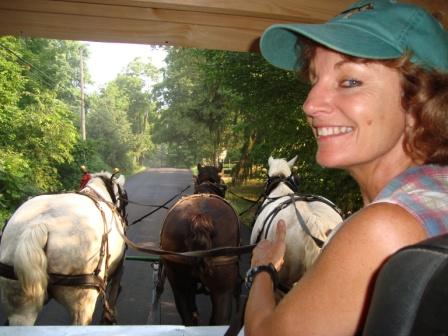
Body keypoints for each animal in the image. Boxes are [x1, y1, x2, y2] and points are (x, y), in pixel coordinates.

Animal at [0, 171, 128, 326]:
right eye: (125, 198)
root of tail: (37, 225)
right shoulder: (118, 270)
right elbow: (114, 294)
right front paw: (109, 319)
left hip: (19, 301)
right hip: (82, 298)